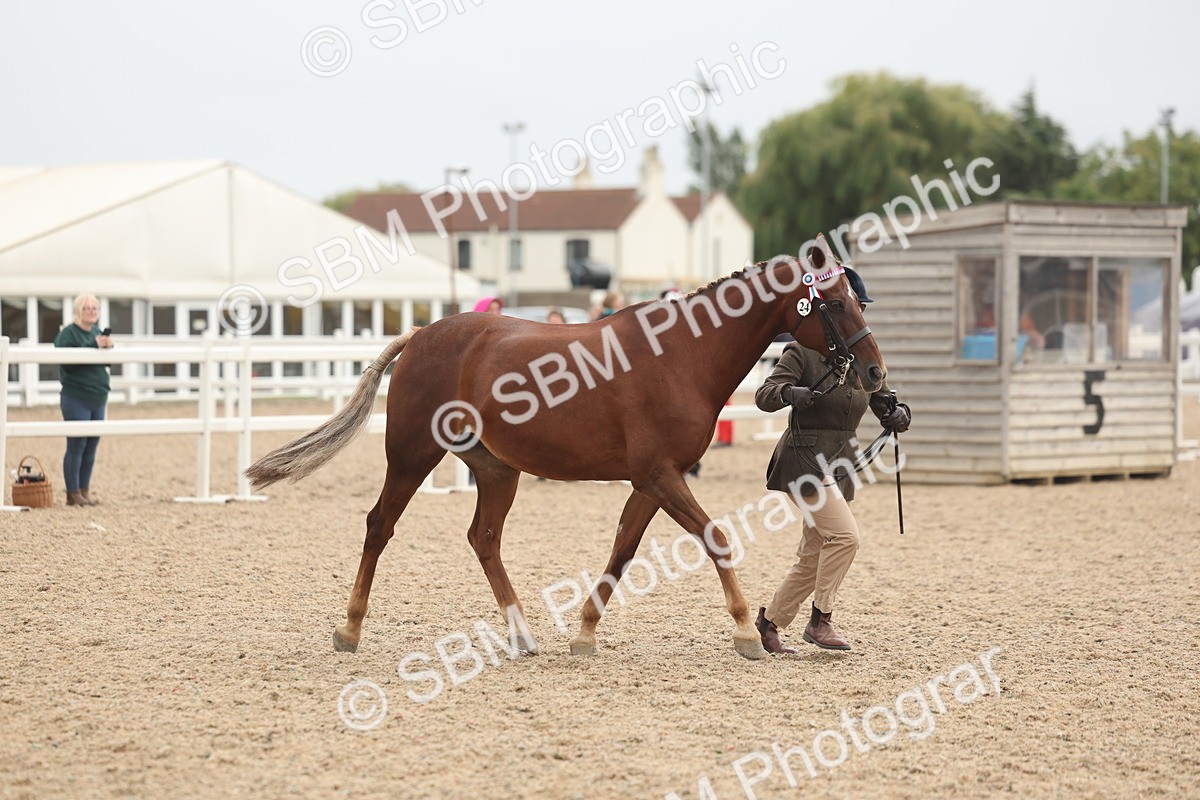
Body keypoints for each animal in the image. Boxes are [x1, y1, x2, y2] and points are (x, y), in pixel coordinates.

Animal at [245, 235, 886, 660]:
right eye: (833, 304)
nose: (875, 373)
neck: (681, 355)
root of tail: (422, 334)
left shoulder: (653, 480)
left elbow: (623, 551)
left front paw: (583, 633)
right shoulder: (662, 476)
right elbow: (716, 539)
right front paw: (748, 634)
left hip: (497, 470)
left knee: (484, 538)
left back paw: (522, 635)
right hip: (411, 455)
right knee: (380, 525)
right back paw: (349, 631)